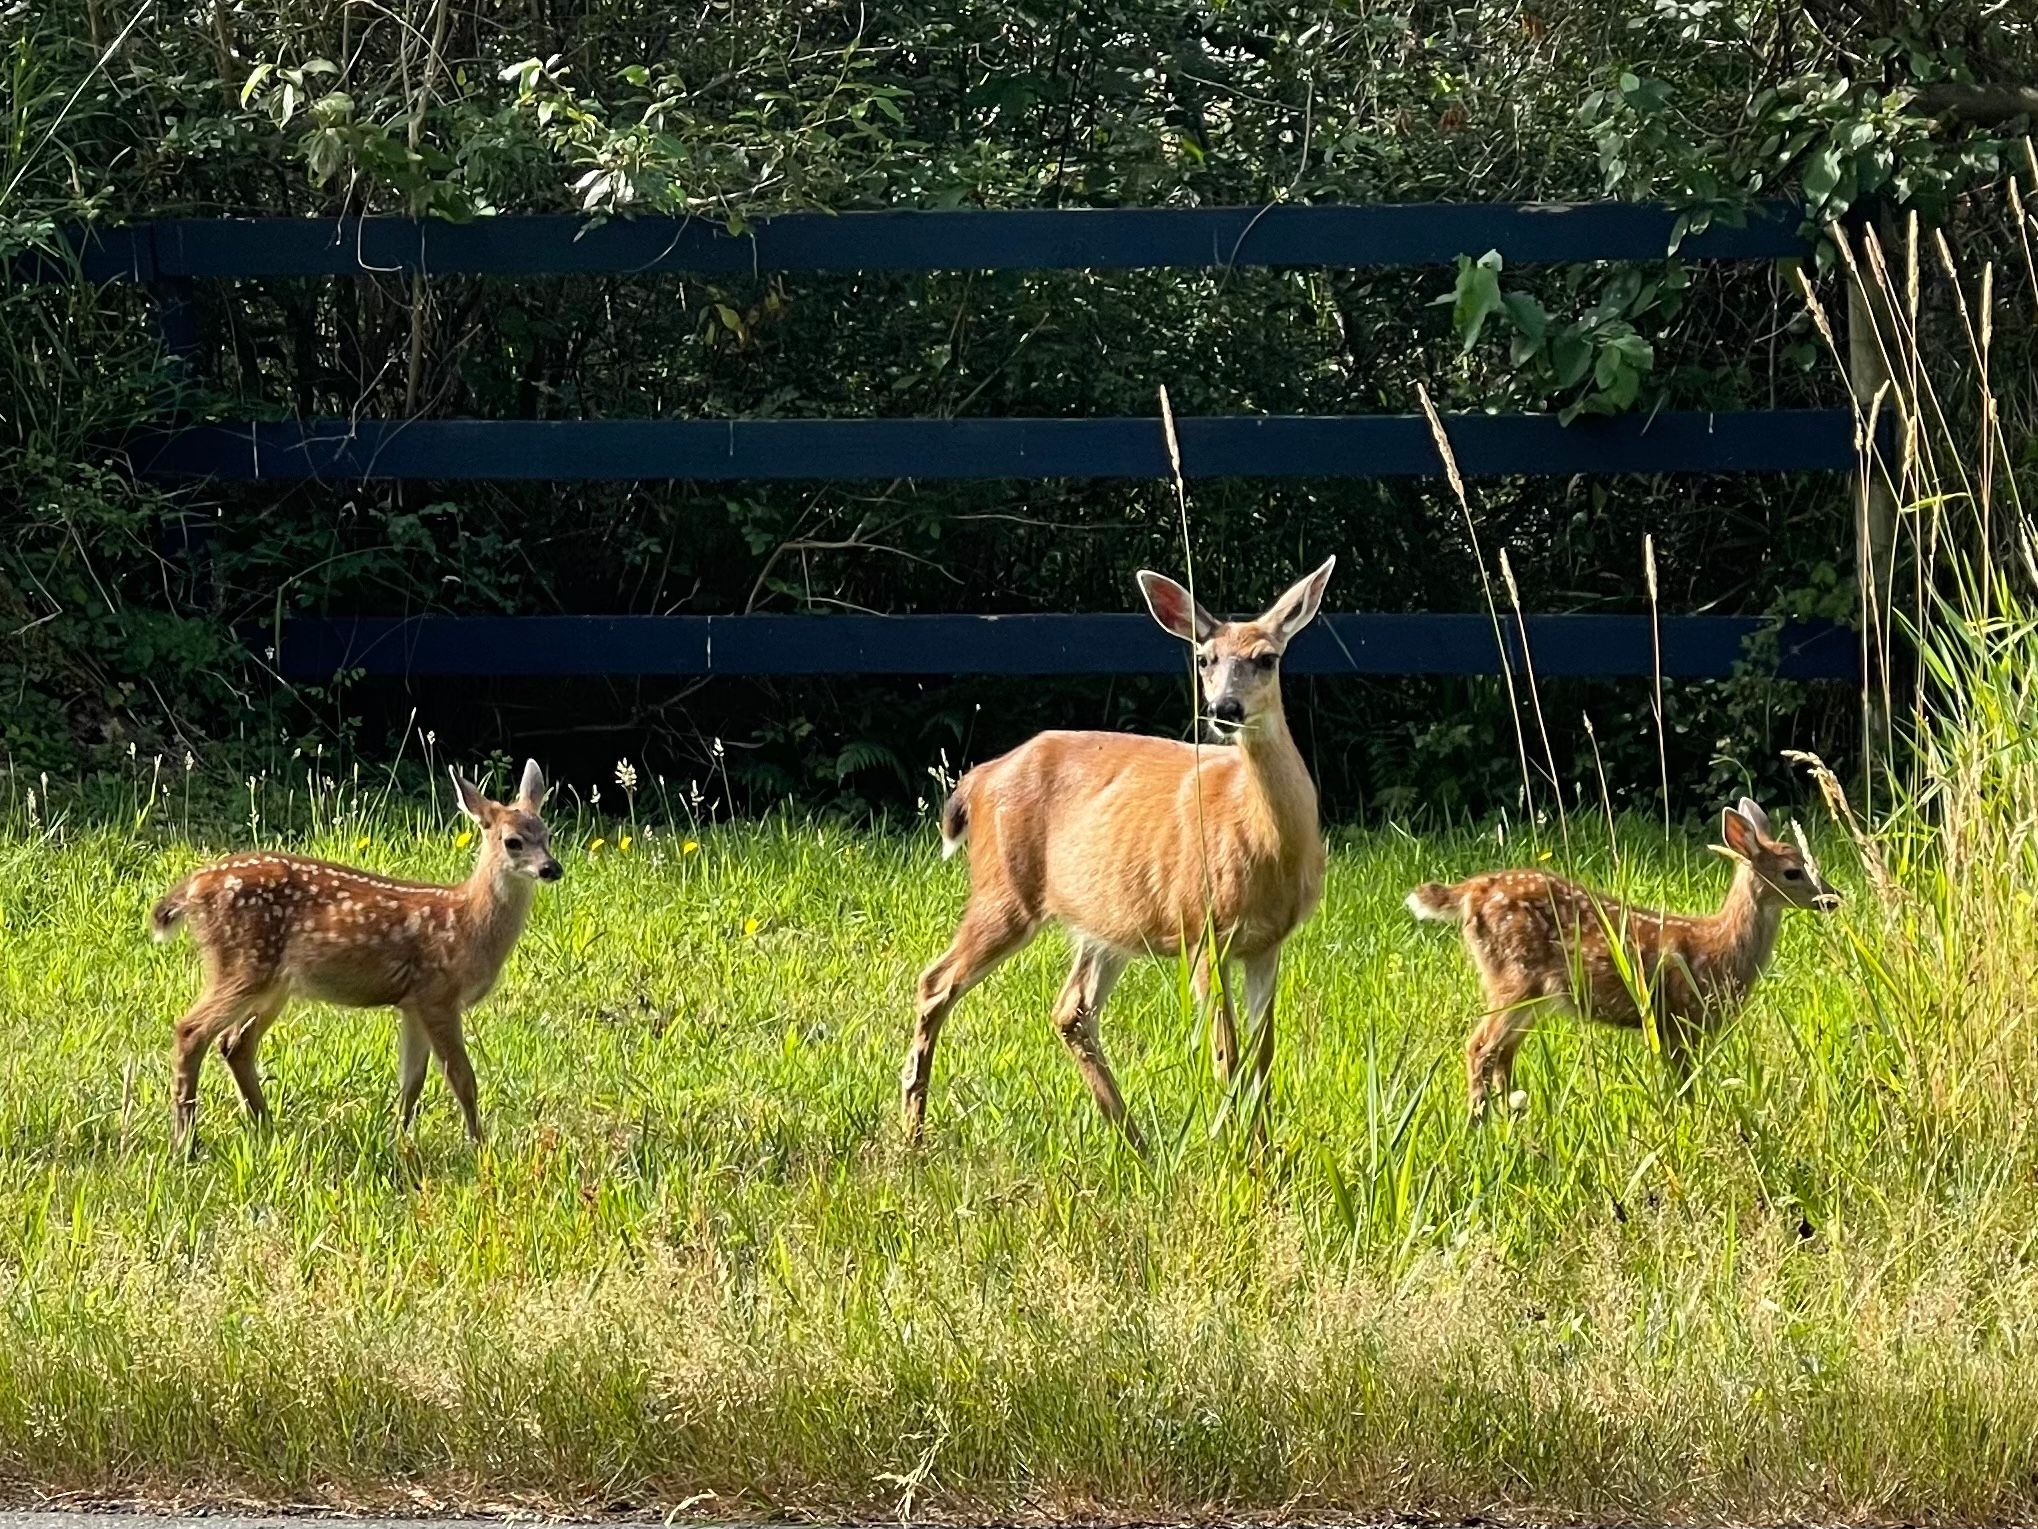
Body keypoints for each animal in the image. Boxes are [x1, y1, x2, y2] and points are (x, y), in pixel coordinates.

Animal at [153, 762, 562, 1157]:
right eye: (513, 842)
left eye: (547, 835)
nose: (551, 868)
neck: (467, 923)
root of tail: (191, 889)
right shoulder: (438, 994)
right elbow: (462, 1078)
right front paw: (481, 1149)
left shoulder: (412, 1003)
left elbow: (412, 1082)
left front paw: (399, 1142)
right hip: (244, 962)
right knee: (192, 1030)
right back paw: (186, 1144)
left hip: (274, 982)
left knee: (235, 1043)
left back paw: (265, 1128)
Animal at [900, 558, 1328, 1149]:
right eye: (1204, 659)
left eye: (1267, 658)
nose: (1224, 709)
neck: (1267, 842)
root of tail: (980, 777)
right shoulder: (1203, 929)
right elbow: (1228, 1054)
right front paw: (1238, 1152)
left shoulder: (1267, 943)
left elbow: (1262, 1054)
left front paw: (1264, 1152)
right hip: (1004, 891)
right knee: (935, 981)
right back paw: (913, 1134)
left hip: (1106, 920)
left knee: (1070, 1010)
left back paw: (1139, 1145)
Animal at [1410, 803, 1842, 1117]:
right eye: (1792, 872)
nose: (1832, 898)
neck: (1718, 948)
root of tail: (1470, 891)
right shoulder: (1679, 1018)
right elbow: (1684, 1084)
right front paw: (1690, 1119)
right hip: (1512, 976)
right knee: (1479, 1048)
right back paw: (1480, 1122)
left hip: (1531, 993)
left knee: (1503, 1053)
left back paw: (1511, 1120)